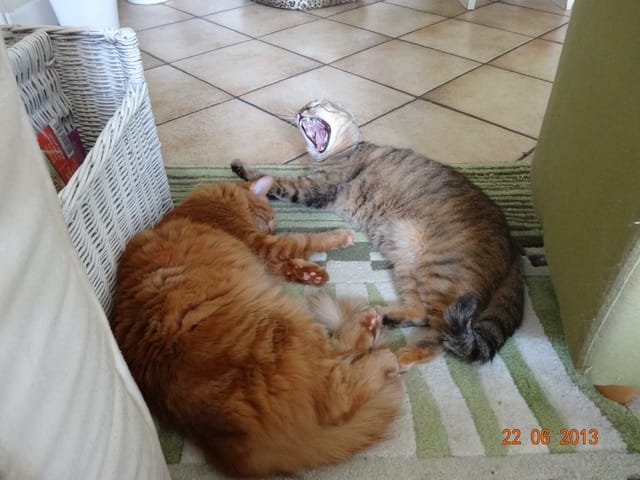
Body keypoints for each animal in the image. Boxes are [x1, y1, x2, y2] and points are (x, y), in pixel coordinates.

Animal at [110, 177, 403, 477]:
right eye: (269, 219)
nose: (273, 227)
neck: (204, 204)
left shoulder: (265, 254)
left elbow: (288, 264)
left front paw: (312, 274)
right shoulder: (260, 243)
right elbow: (301, 241)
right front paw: (338, 237)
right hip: (288, 323)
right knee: (338, 388)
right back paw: (380, 347)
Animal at [232, 99, 524, 370]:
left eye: (320, 103)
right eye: (307, 105)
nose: (303, 109)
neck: (339, 152)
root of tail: (514, 251)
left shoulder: (315, 188)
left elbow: (279, 181)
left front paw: (243, 170)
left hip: (440, 273)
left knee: (442, 335)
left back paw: (405, 355)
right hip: (408, 265)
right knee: (420, 313)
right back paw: (383, 316)